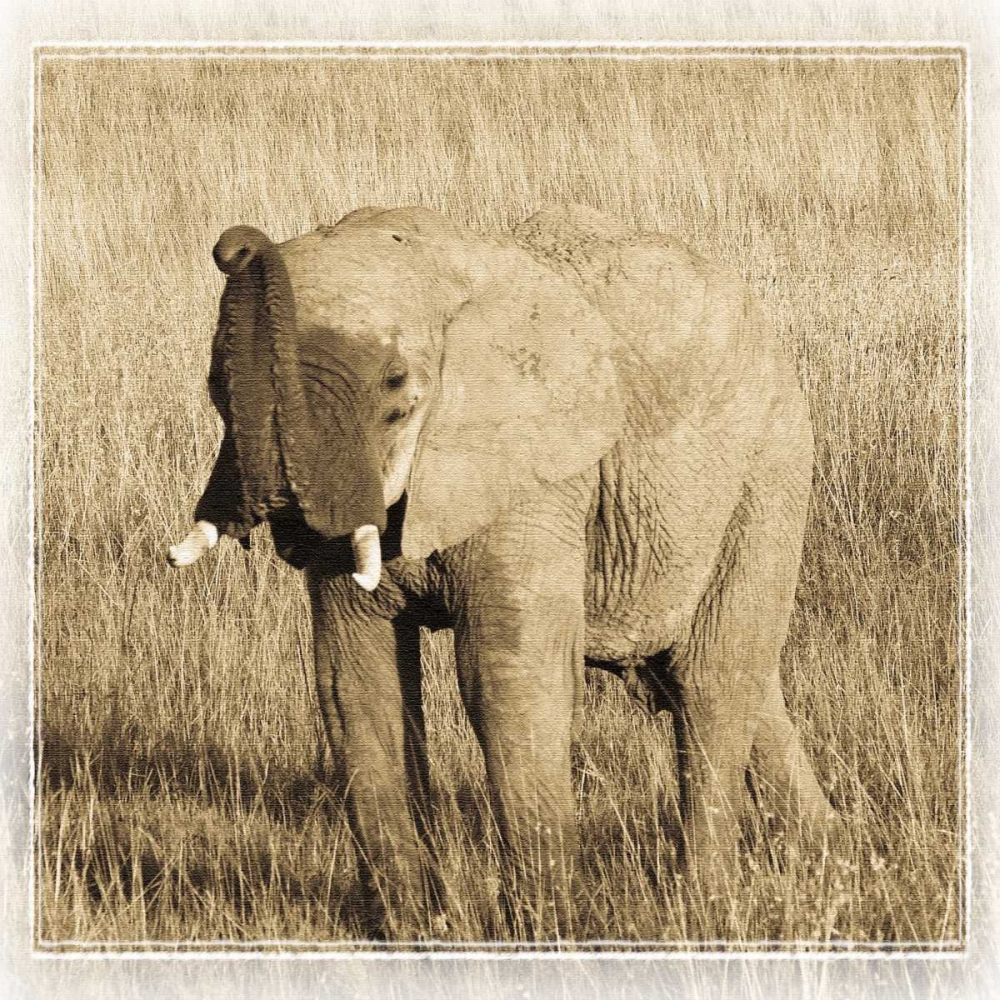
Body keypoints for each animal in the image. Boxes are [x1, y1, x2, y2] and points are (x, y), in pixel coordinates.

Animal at [168, 204, 841, 939]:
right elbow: (356, 676)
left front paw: (542, 931)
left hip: (769, 469)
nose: (237, 245)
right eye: (213, 383)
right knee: (728, 674)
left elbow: (504, 672)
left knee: (713, 677)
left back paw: (704, 905)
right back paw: (829, 850)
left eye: (396, 386)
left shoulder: (538, 468)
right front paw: (415, 933)